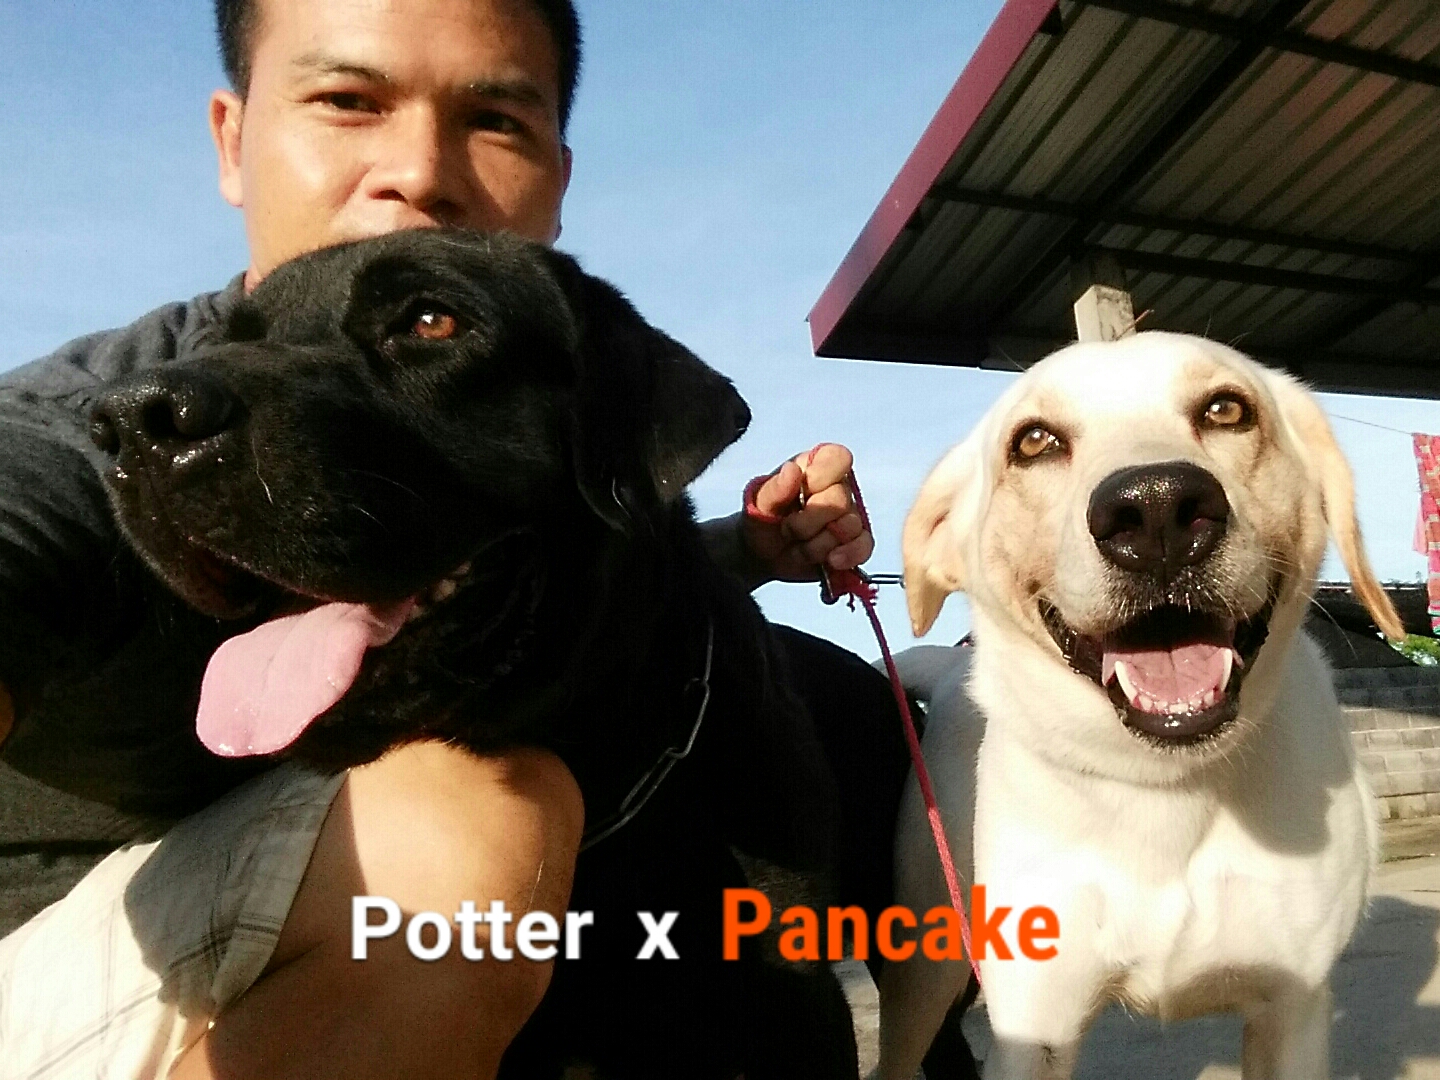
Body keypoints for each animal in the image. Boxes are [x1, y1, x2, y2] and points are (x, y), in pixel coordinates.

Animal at [876, 331, 1402, 1080]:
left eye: (1227, 409)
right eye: (1033, 442)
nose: (1156, 509)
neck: (1164, 788)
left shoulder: (1294, 1005)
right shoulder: (1033, 1023)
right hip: (926, 961)